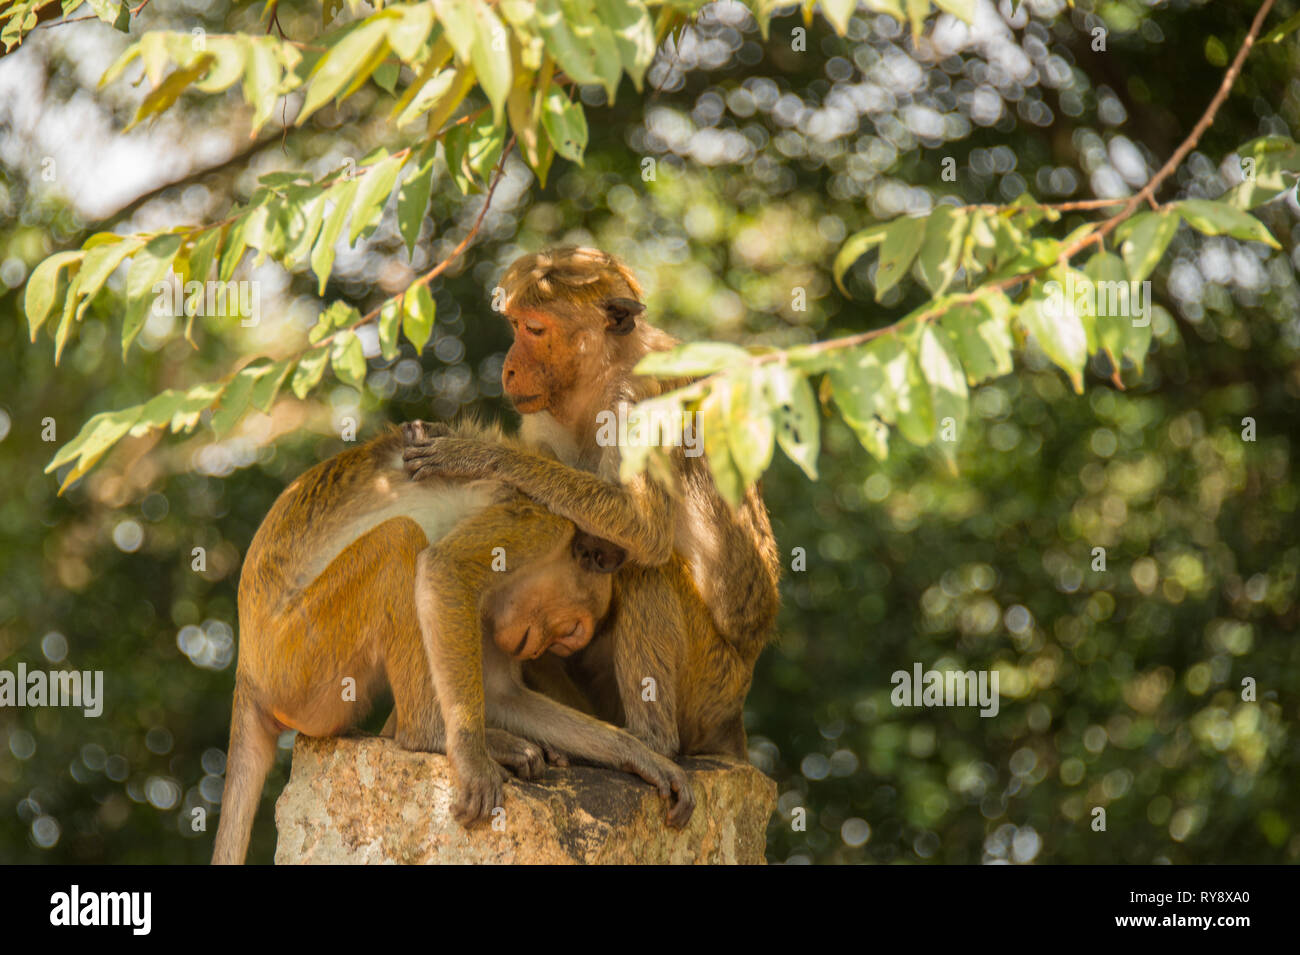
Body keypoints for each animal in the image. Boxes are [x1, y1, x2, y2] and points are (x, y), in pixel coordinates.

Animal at [212, 421, 694, 866]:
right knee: (399, 541)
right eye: (570, 631)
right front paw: (470, 757)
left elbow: (501, 693)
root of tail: (248, 672)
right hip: (299, 656)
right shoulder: (537, 524)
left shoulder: (495, 608)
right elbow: (446, 570)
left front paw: (636, 754)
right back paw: (431, 736)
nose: (534, 650)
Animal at [403, 247, 782, 762]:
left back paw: (650, 743)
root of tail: (733, 717)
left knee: (648, 569)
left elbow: (642, 529)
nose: (508, 369)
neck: (604, 371)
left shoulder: (638, 400)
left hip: (713, 685)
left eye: (534, 328)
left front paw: (474, 454)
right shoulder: (545, 409)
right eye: (514, 324)